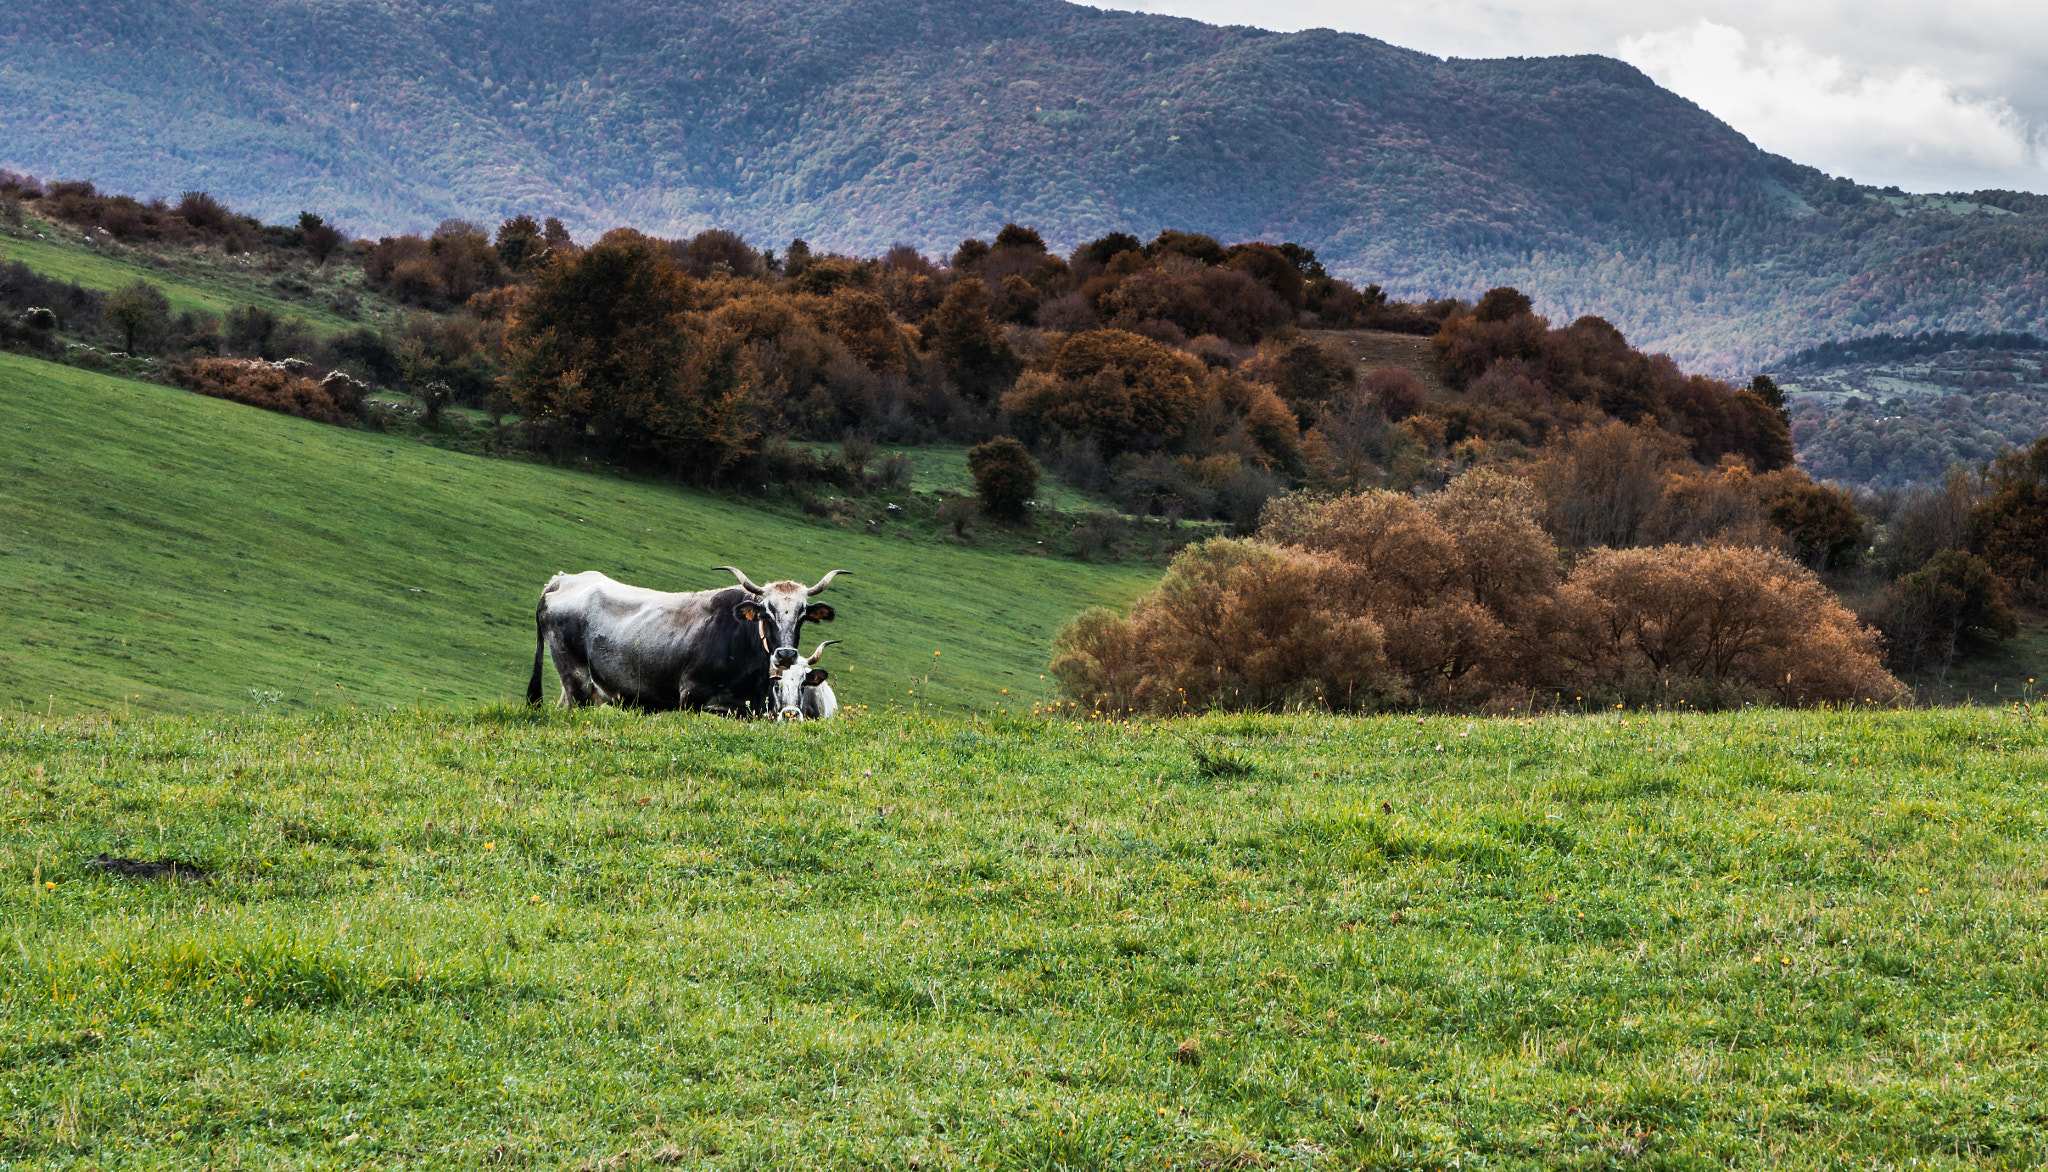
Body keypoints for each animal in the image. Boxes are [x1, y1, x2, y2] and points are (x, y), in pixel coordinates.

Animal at [532, 561, 851, 708]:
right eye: (766, 612)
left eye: (803, 614)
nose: (785, 654)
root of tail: (562, 580)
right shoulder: (690, 696)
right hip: (576, 679)